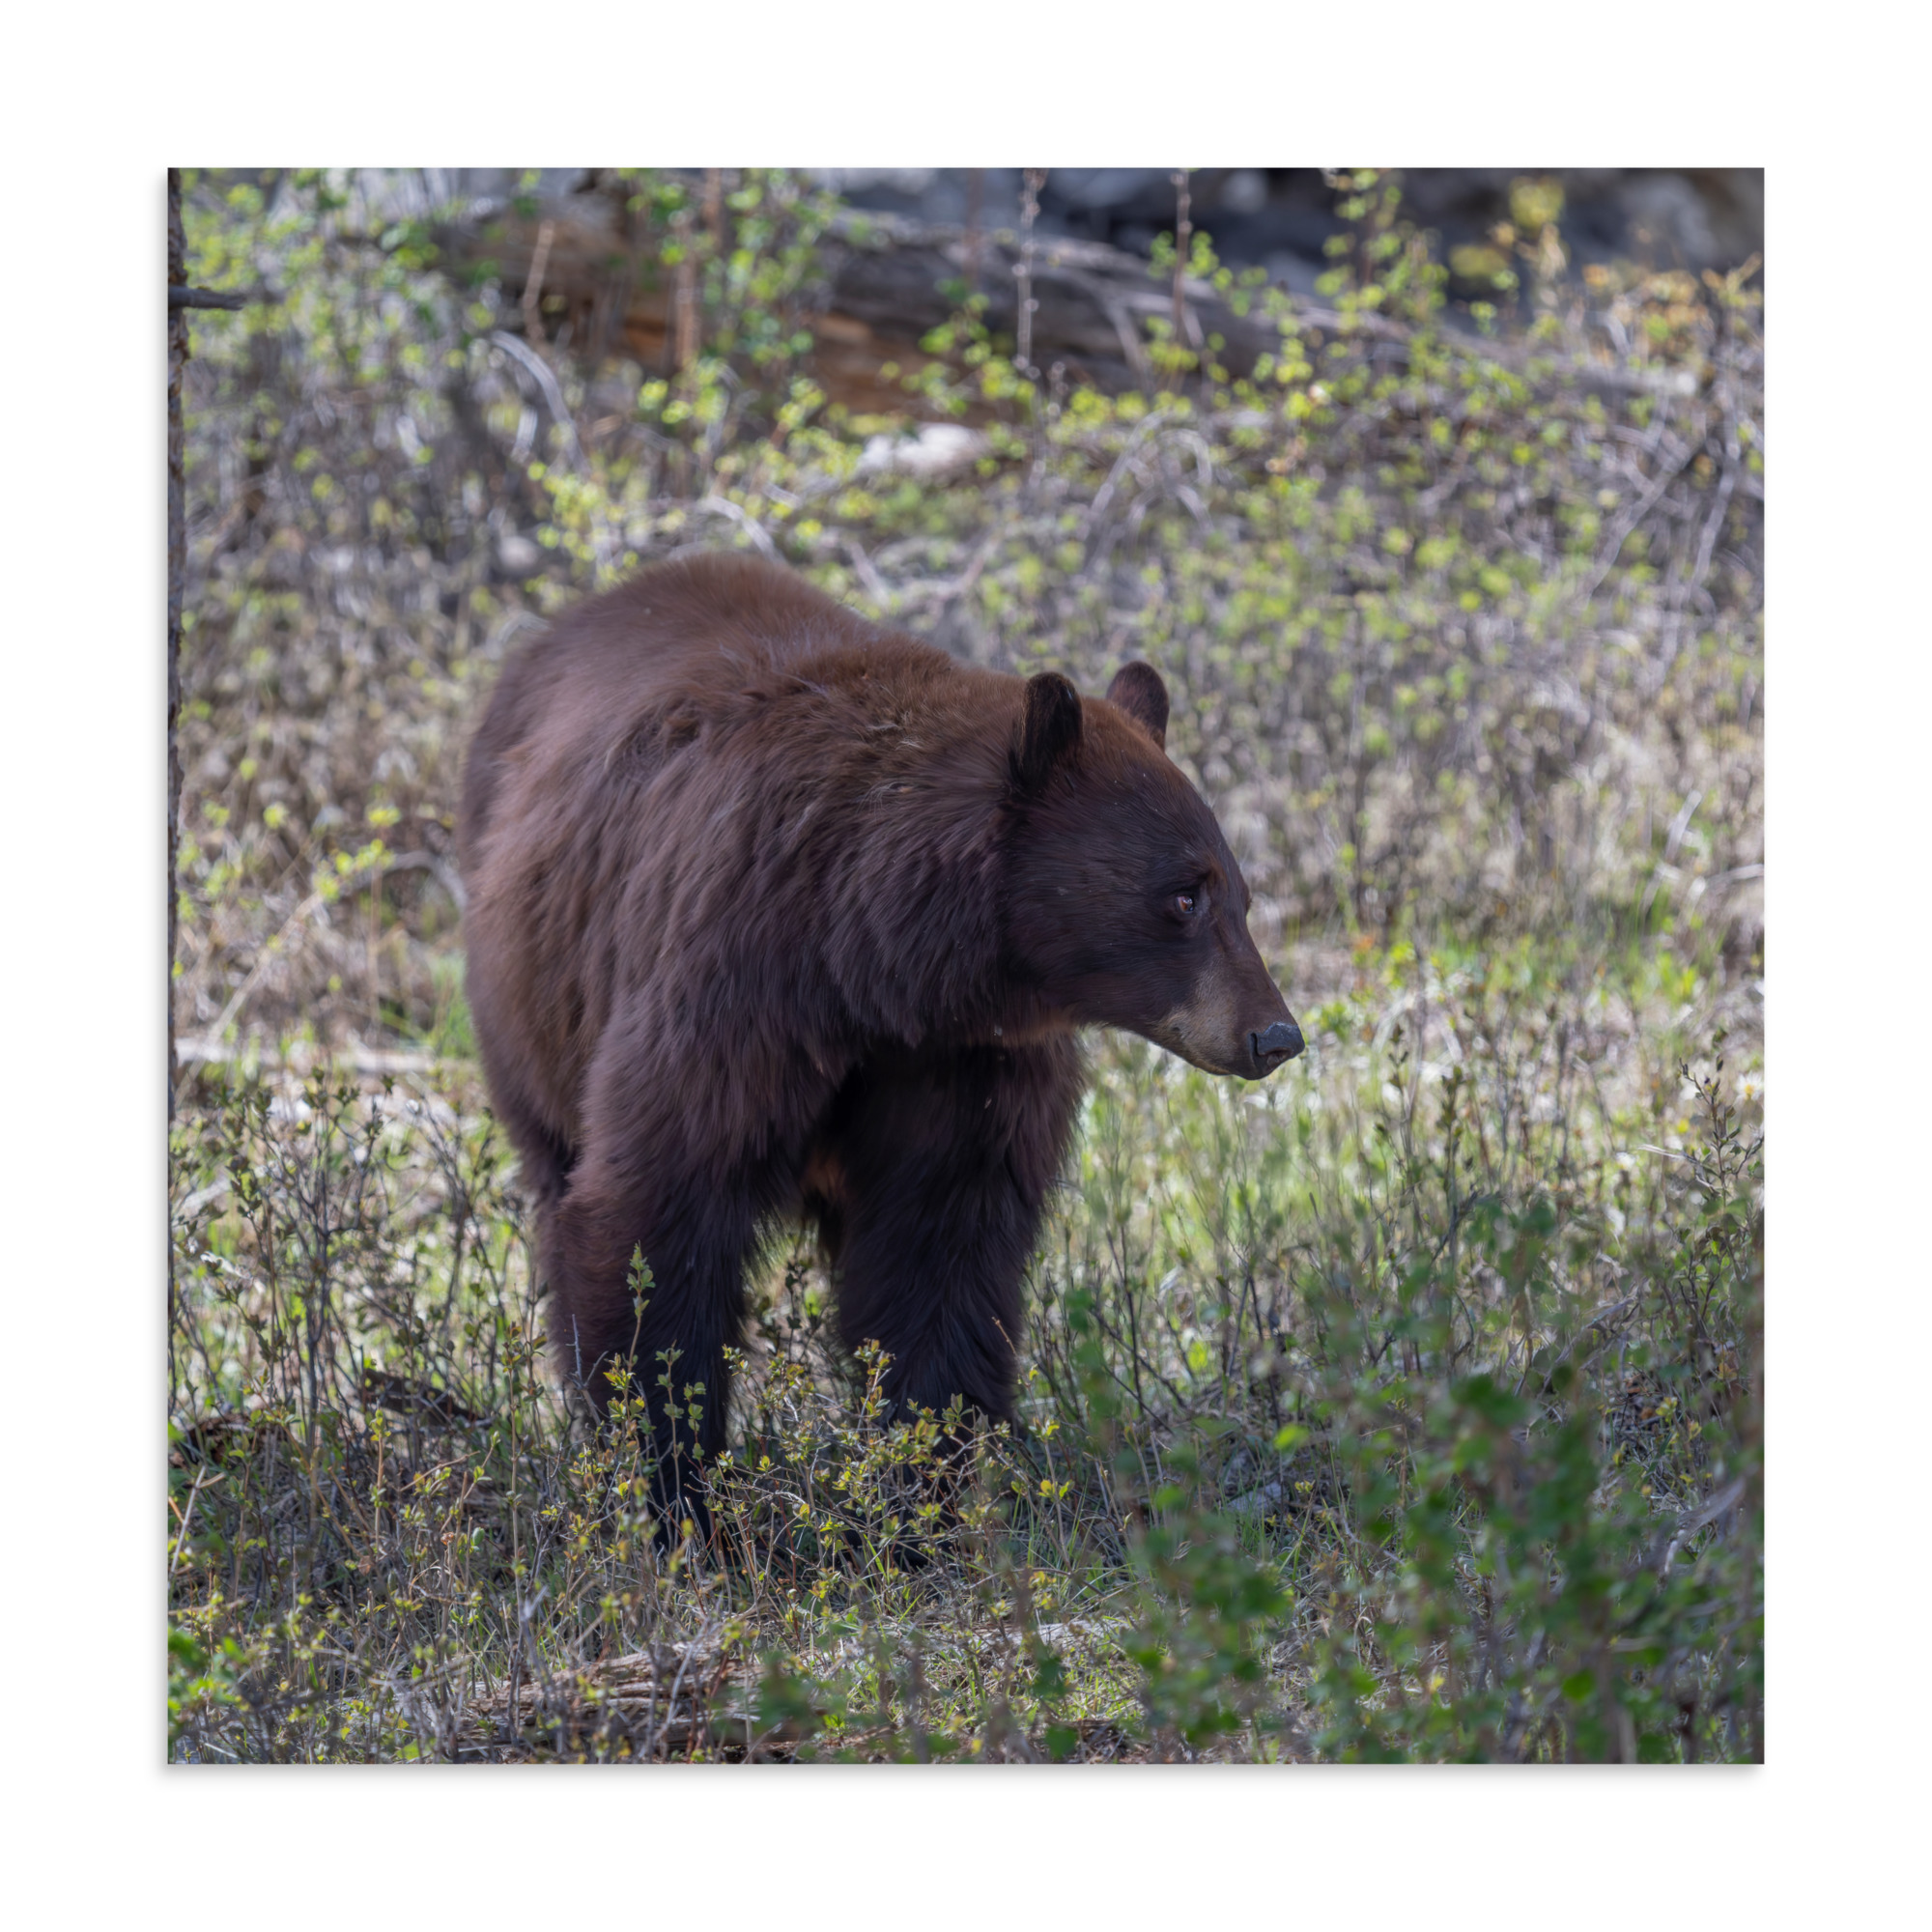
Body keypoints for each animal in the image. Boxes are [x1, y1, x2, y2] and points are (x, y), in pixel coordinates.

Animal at [457, 552, 1302, 1522]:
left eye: (1239, 894)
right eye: (1184, 895)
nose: (1275, 1035)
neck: (873, 963)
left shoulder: (963, 1062)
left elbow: (940, 1254)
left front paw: (918, 1496)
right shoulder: (730, 987)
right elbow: (657, 1213)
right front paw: (677, 1492)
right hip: (529, 1005)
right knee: (557, 1176)